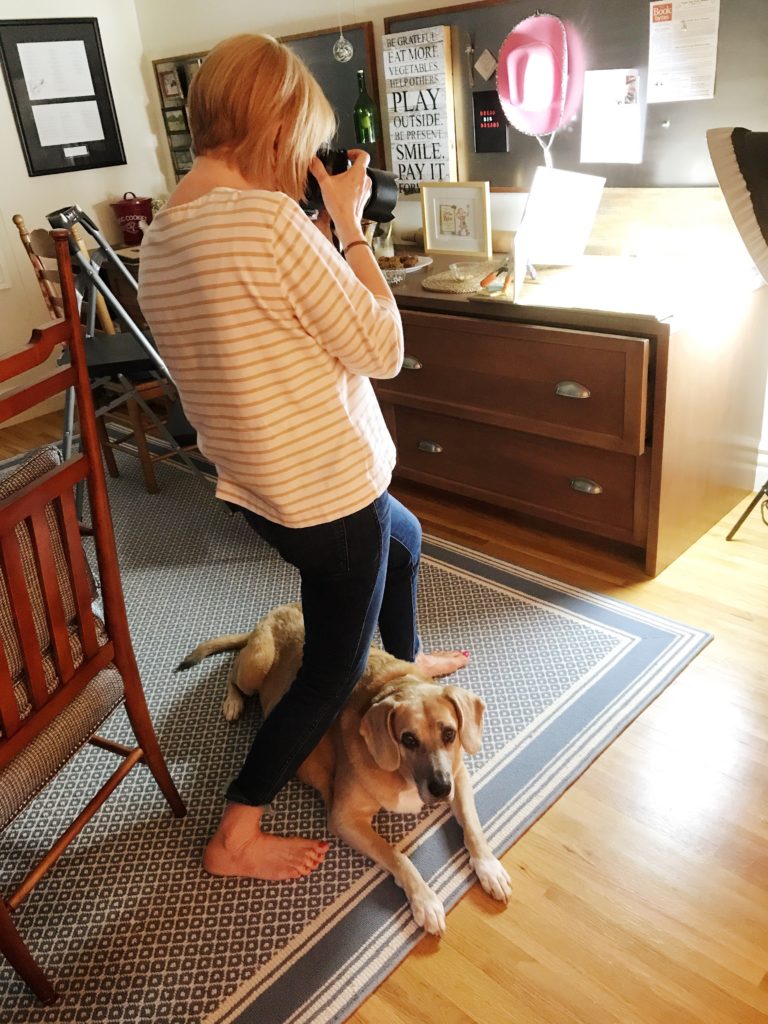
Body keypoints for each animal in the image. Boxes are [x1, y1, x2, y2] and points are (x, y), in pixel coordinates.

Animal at [179, 602, 512, 933]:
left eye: (450, 733)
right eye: (408, 739)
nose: (441, 789)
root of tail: (280, 608)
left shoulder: (459, 777)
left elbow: (473, 827)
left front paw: (488, 866)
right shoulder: (345, 819)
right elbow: (397, 856)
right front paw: (425, 900)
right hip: (255, 667)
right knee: (234, 674)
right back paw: (233, 702)